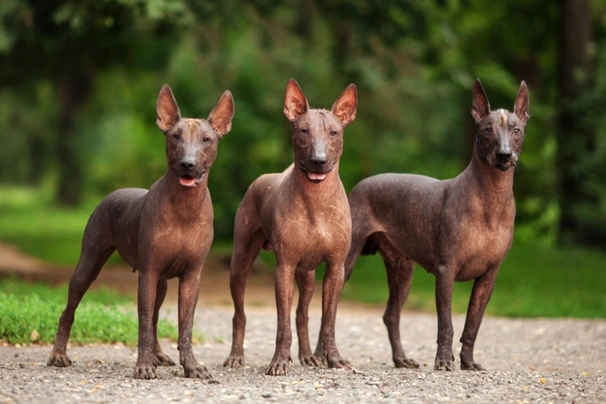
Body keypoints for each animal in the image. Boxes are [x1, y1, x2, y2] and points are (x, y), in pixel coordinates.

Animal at [346, 79, 532, 372]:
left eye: (516, 130)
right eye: (487, 130)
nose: (504, 155)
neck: (491, 198)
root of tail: (359, 185)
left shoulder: (488, 277)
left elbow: (473, 325)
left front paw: (468, 362)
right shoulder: (446, 270)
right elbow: (446, 324)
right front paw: (444, 361)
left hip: (403, 270)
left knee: (391, 315)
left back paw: (401, 359)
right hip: (346, 262)